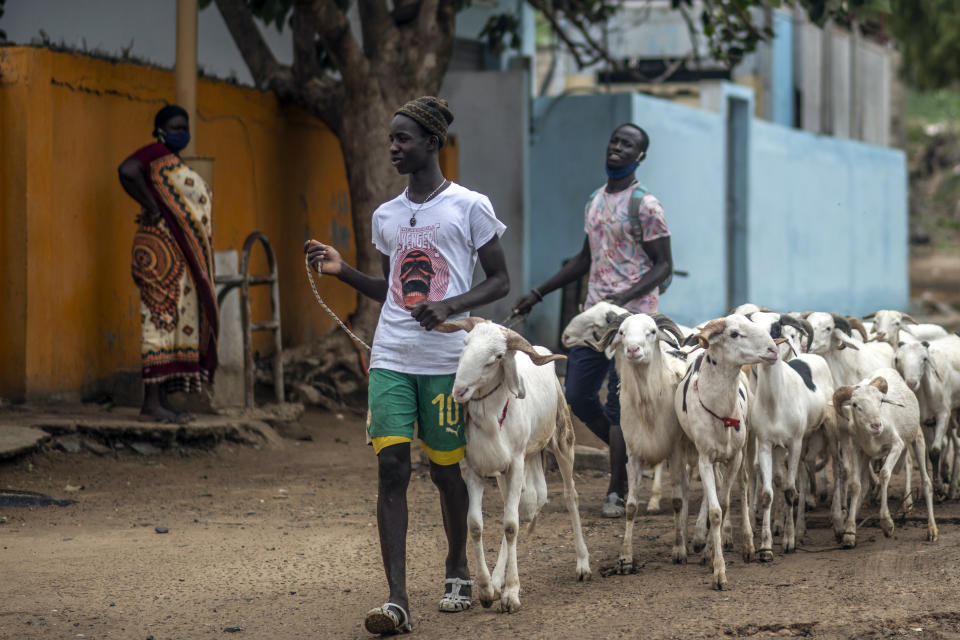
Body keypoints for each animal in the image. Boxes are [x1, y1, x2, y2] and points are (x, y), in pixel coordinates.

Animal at [436, 318, 588, 612]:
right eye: (465, 343)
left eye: (496, 357)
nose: (459, 391)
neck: (493, 420)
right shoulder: (475, 470)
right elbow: (475, 524)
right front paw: (486, 590)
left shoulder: (516, 463)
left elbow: (510, 526)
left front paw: (511, 594)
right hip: (512, 468)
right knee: (524, 505)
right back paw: (497, 581)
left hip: (562, 440)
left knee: (570, 495)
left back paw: (583, 564)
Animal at [676, 316, 780, 592]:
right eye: (734, 334)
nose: (773, 350)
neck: (721, 411)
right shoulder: (704, 458)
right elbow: (715, 512)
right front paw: (718, 571)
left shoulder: (735, 458)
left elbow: (724, 503)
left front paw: (715, 555)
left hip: (744, 448)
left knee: (743, 485)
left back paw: (747, 543)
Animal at [832, 370, 936, 544]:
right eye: (855, 405)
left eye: (881, 401)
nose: (876, 426)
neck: (872, 437)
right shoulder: (857, 450)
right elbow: (855, 485)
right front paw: (849, 533)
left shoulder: (897, 445)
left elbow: (884, 474)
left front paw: (887, 524)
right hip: (867, 455)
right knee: (864, 485)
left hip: (917, 438)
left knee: (926, 482)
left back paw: (932, 530)